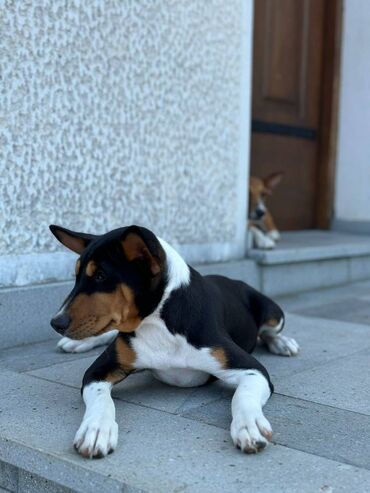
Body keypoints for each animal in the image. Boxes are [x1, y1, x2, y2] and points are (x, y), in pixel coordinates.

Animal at [49, 223, 298, 458]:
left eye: (101, 276)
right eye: (76, 276)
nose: (56, 322)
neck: (157, 322)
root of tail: (234, 280)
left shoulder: (252, 370)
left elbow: (242, 396)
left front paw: (249, 425)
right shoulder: (97, 372)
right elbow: (101, 399)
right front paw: (96, 429)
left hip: (273, 314)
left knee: (268, 331)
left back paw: (283, 342)